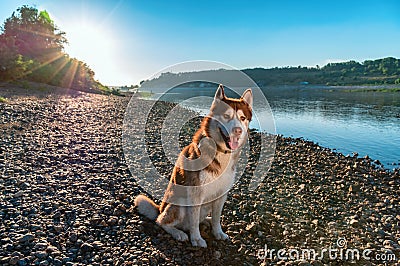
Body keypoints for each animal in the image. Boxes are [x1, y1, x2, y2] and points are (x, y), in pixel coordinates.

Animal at [134, 84, 253, 247]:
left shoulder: (221, 194)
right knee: (162, 221)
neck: (221, 154)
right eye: (226, 116)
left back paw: (206, 221)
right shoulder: (195, 194)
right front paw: (196, 238)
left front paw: (218, 232)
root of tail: (160, 209)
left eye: (242, 118)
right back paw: (179, 233)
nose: (238, 130)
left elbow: (217, 217)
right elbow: (194, 221)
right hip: (179, 203)